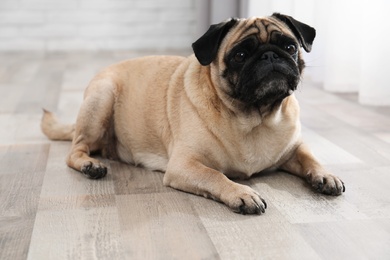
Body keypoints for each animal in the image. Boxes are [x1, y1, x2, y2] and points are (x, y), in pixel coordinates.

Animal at [41, 13, 344, 214]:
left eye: (290, 47)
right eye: (240, 55)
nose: (270, 56)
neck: (255, 117)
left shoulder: (293, 148)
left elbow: (310, 157)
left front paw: (325, 175)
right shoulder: (184, 165)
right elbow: (215, 176)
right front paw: (242, 193)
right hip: (101, 99)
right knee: (76, 149)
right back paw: (90, 165)